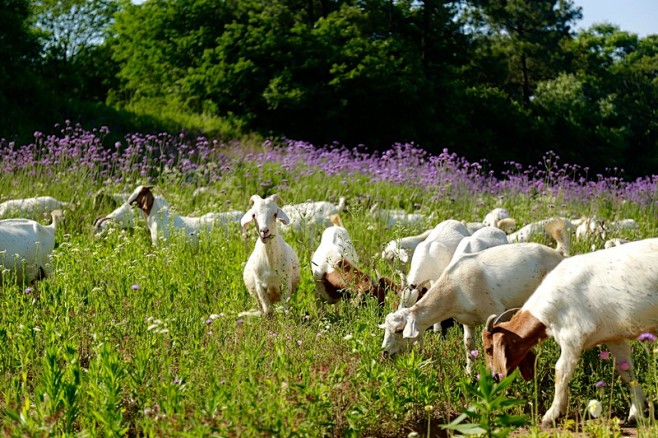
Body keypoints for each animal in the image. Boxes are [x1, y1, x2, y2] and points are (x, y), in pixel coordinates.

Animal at [380, 243, 564, 372]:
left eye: (399, 330)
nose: (384, 353)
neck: (454, 290)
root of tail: (559, 256)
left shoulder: (495, 312)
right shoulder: (467, 321)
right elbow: (469, 346)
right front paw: (469, 374)